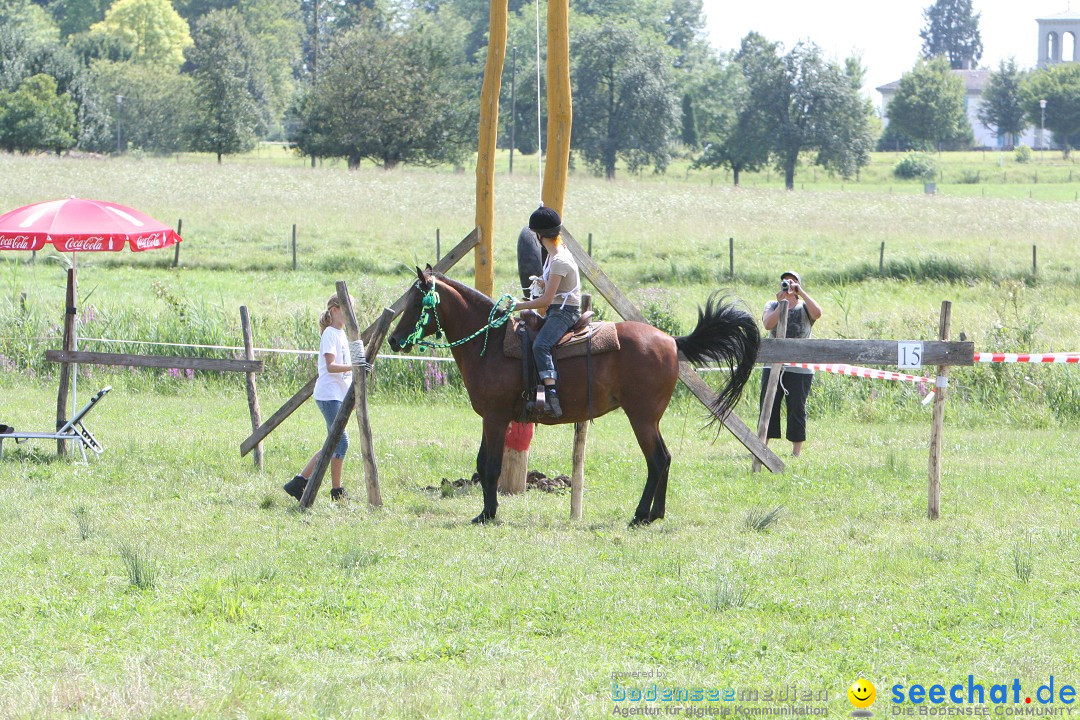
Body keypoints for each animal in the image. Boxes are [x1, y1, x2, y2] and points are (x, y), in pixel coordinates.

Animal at [388, 267, 760, 526]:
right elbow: (482, 463)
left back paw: (640, 516)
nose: (393, 340)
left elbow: (490, 466)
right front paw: (486, 512)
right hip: (649, 419)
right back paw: (656, 514)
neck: (490, 343)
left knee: (657, 460)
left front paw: (488, 514)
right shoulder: (492, 418)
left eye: (416, 302)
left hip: (641, 417)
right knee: (665, 459)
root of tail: (671, 341)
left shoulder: (495, 416)